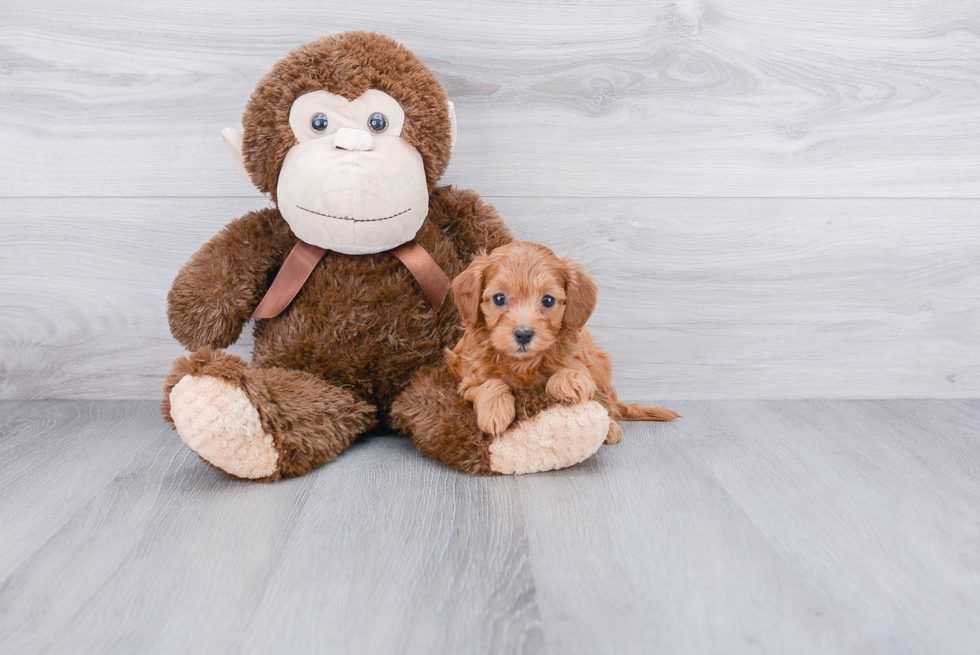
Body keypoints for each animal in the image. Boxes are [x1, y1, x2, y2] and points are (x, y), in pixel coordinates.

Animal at [446, 238, 680, 444]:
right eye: (499, 298)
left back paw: (611, 428)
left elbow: (576, 372)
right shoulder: (469, 378)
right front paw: (495, 411)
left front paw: (568, 381)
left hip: (599, 363)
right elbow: (489, 383)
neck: (523, 365)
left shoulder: (581, 362)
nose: (523, 334)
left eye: (548, 300)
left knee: (606, 403)